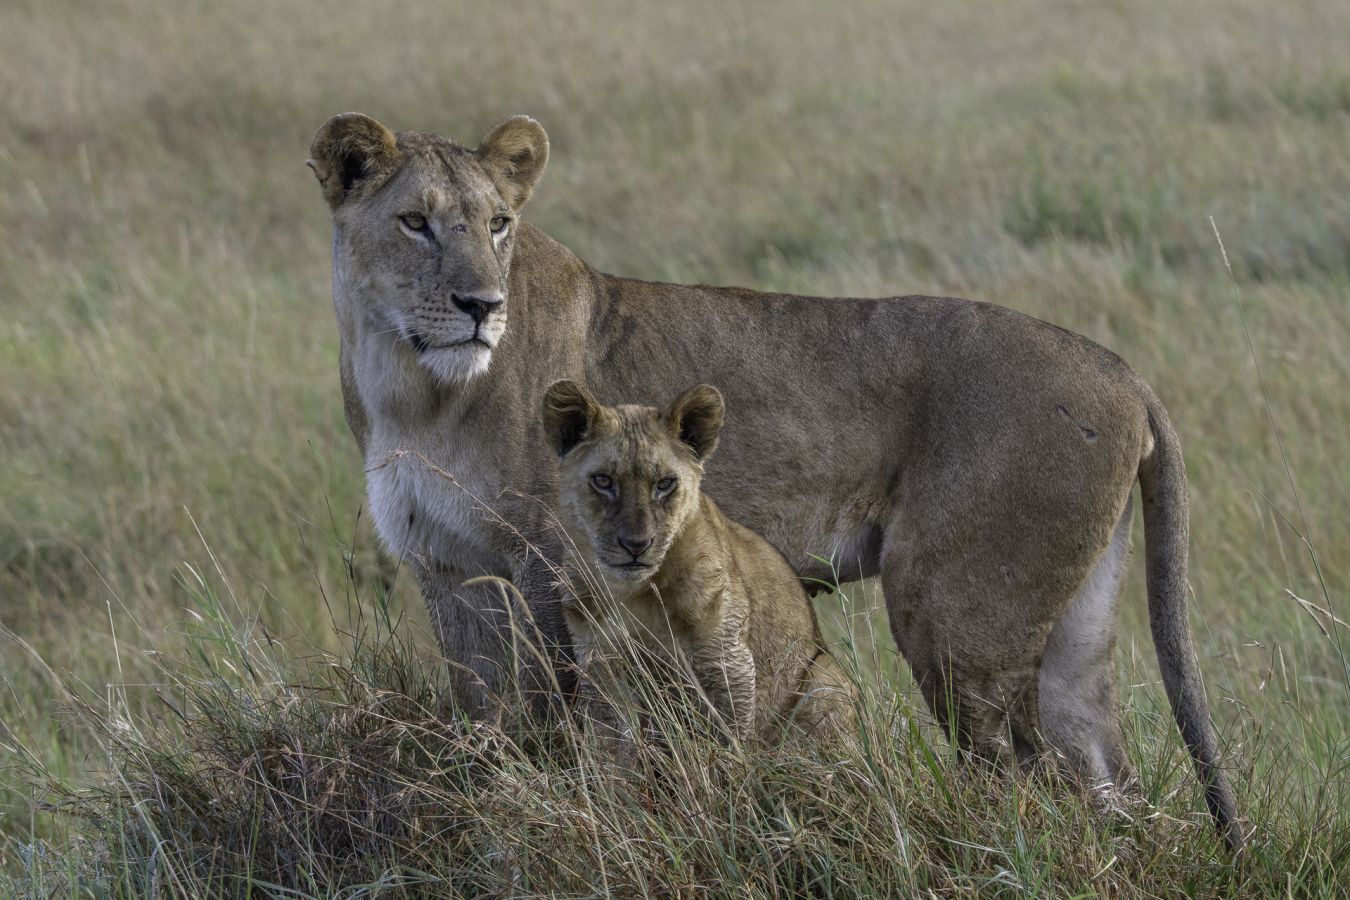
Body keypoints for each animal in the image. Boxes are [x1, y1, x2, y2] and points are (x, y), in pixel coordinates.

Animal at [544, 379, 852, 748]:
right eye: (603, 480)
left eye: (665, 484)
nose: (636, 545)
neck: (628, 591)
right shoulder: (599, 666)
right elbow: (610, 747)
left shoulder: (726, 661)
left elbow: (727, 742)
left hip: (825, 678)